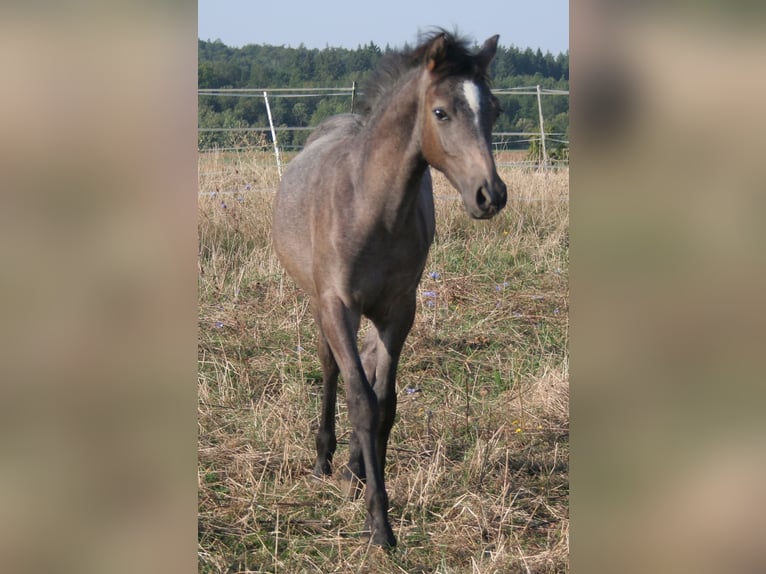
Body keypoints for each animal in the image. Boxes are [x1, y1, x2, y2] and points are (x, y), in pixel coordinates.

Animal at [272, 28, 508, 548]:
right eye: (440, 112)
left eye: (496, 109)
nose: (491, 195)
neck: (371, 207)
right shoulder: (337, 305)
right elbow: (361, 401)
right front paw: (380, 526)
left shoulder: (400, 310)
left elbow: (385, 404)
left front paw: (370, 495)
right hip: (320, 304)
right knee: (332, 369)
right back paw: (324, 460)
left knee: (368, 366)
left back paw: (354, 468)